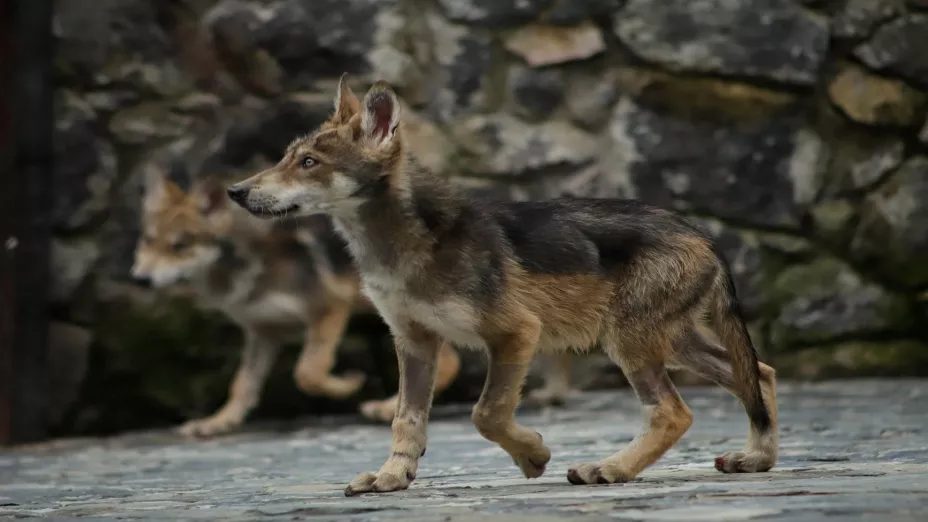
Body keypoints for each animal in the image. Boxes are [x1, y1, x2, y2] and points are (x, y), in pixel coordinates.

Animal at [226, 75, 779, 495]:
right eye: (285, 158)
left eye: (309, 164)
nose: (235, 191)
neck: (399, 248)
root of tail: (701, 232)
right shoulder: (415, 343)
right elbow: (406, 420)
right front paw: (392, 477)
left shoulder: (515, 334)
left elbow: (486, 414)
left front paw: (534, 455)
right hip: (673, 345)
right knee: (761, 375)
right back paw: (756, 460)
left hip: (630, 344)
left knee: (673, 412)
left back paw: (609, 469)